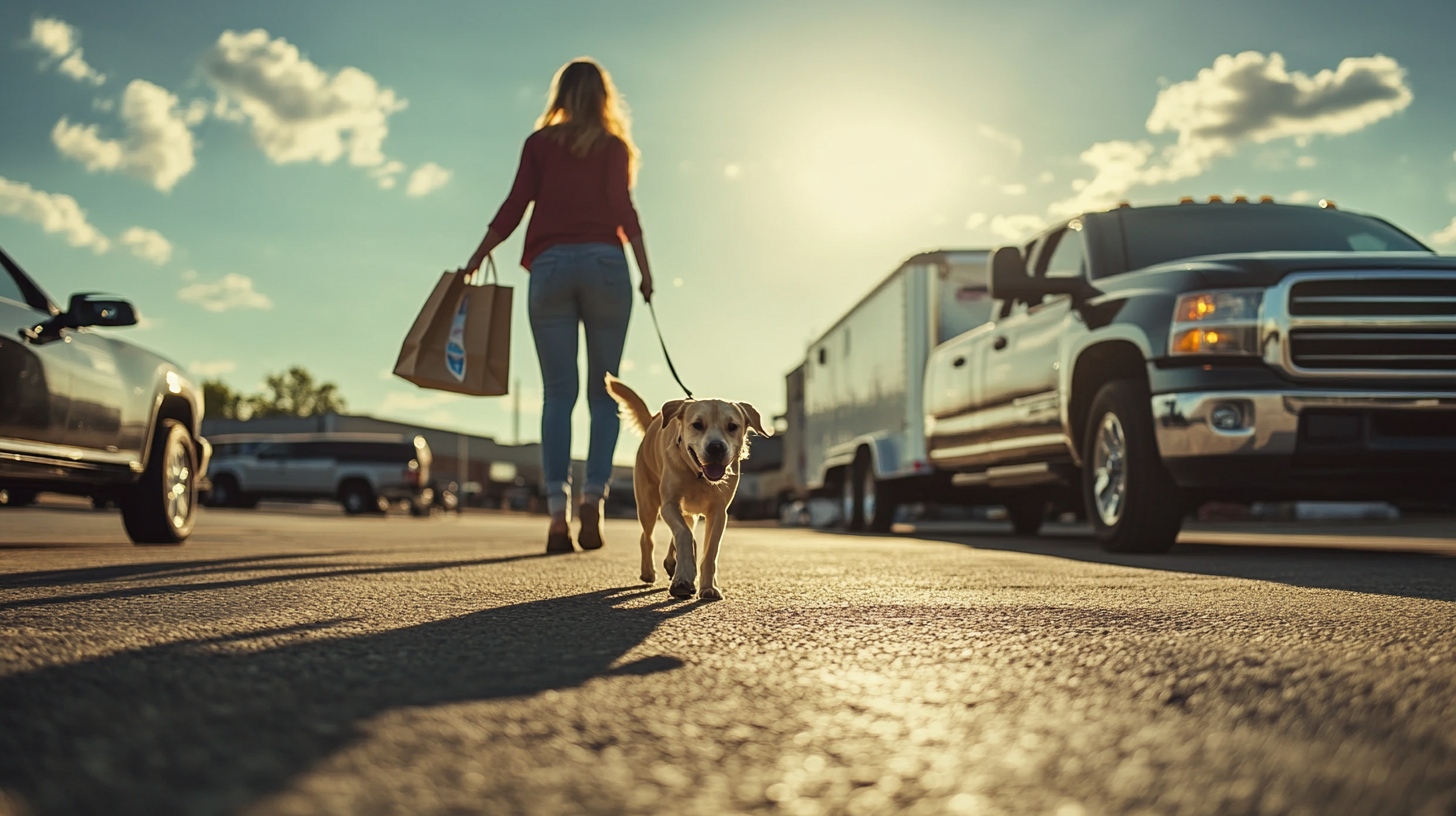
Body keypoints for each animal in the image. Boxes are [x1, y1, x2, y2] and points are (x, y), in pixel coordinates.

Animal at [602, 375, 768, 600]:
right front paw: (684, 578)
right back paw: (649, 572)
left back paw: (673, 564)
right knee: (648, 537)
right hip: (647, 503)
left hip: (687, 511)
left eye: (732, 426)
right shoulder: (669, 504)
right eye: (697, 425)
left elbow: (710, 551)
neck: (698, 475)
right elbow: (684, 534)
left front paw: (708, 586)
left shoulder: (719, 511)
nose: (716, 447)